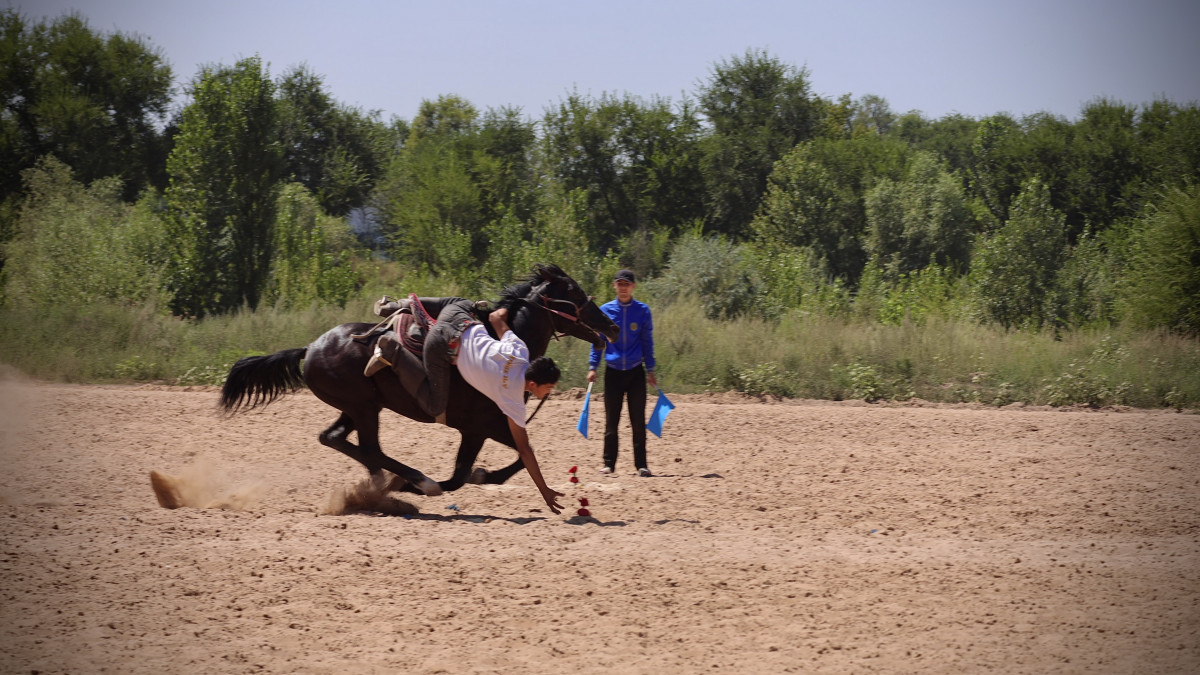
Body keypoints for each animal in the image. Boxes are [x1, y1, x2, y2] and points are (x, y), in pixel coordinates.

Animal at [216, 263, 619, 494]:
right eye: (575, 292)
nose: (611, 326)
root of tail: (309, 347)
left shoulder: (490, 425)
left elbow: (513, 460)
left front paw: (485, 476)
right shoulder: (478, 427)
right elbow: (465, 474)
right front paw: (468, 478)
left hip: (357, 407)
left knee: (334, 438)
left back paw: (383, 483)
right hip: (364, 408)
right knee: (370, 448)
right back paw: (412, 480)